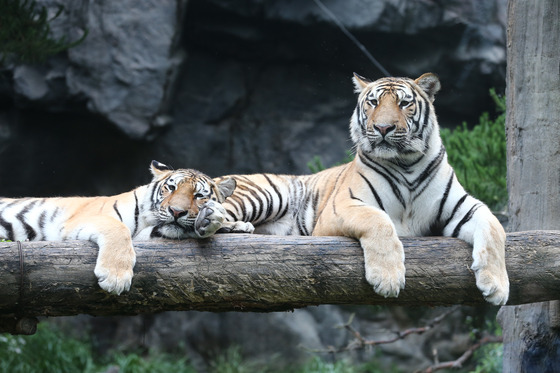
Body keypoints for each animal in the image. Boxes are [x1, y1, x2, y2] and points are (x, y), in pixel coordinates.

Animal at [0, 160, 254, 294]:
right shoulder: (81, 221)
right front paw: (115, 278)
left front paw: (220, 221)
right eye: (171, 188)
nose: (176, 212)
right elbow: (118, 229)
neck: (147, 221)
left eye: (199, 196)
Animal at [218, 72, 512, 306]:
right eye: (373, 103)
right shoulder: (341, 207)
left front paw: (497, 287)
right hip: (267, 193)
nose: (383, 127)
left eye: (404, 103)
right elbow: (378, 220)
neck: (407, 164)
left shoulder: (463, 208)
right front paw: (388, 279)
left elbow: (494, 228)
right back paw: (235, 226)